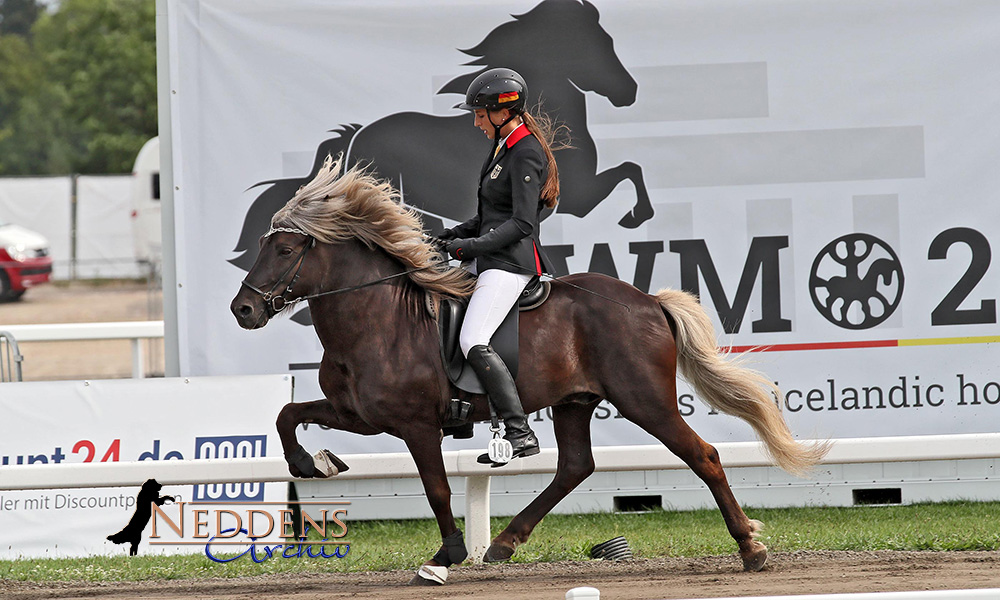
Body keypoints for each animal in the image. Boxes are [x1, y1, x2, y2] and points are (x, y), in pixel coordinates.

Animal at [229, 0, 652, 286]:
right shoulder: (577, 197)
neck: (515, 133)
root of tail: (359, 135)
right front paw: (637, 215)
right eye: (598, 42)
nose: (629, 93)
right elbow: (630, 170)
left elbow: (630, 169)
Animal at [232, 156, 828, 584]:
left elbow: (437, 489)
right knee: (576, 466)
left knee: (702, 456)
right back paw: (502, 543)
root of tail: (648, 301)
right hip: (574, 402)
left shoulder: (415, 425)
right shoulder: (358, 413)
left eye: (284, 250)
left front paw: (444, 557)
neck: (376, 320)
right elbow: (287, 413)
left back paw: (750, 548)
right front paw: (313, 464)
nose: (244, 310)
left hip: (644, 400)